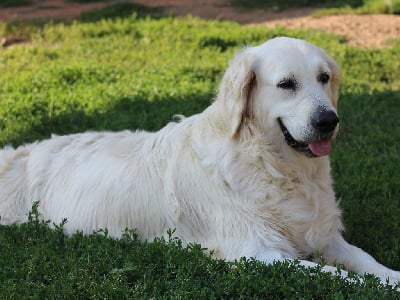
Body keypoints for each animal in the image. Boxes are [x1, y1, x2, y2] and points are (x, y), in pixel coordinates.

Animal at [0, 37, 400, 286]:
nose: (328, 121)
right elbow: (341, 276)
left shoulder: (325, 237)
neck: (273, 165)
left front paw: (393, 278)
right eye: (287, 84)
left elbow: (366, 261)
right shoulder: (257, 253)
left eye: (324, 78)